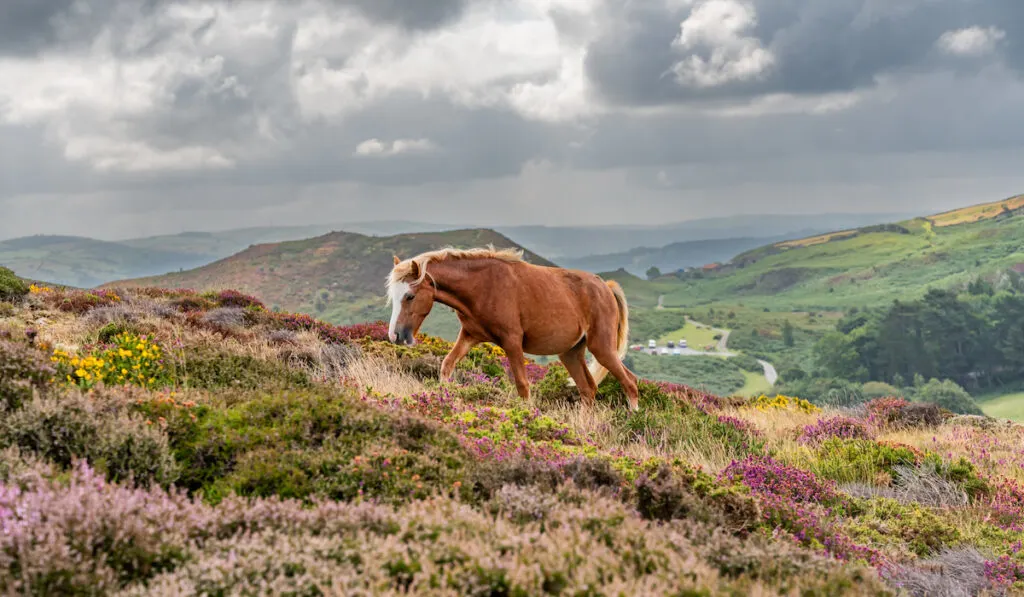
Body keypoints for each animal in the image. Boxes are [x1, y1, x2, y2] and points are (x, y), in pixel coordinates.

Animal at [385, 246, 634, 411]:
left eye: (410, 296)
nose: (395, 336)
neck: (483, 285)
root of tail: (606, 287)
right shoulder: (469, 336)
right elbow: (446, 365)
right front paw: (444, 397)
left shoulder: (512, 342)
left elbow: (523, 385)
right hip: (571, 353)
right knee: (587, 389)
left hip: (602, 348)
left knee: (630, 383)